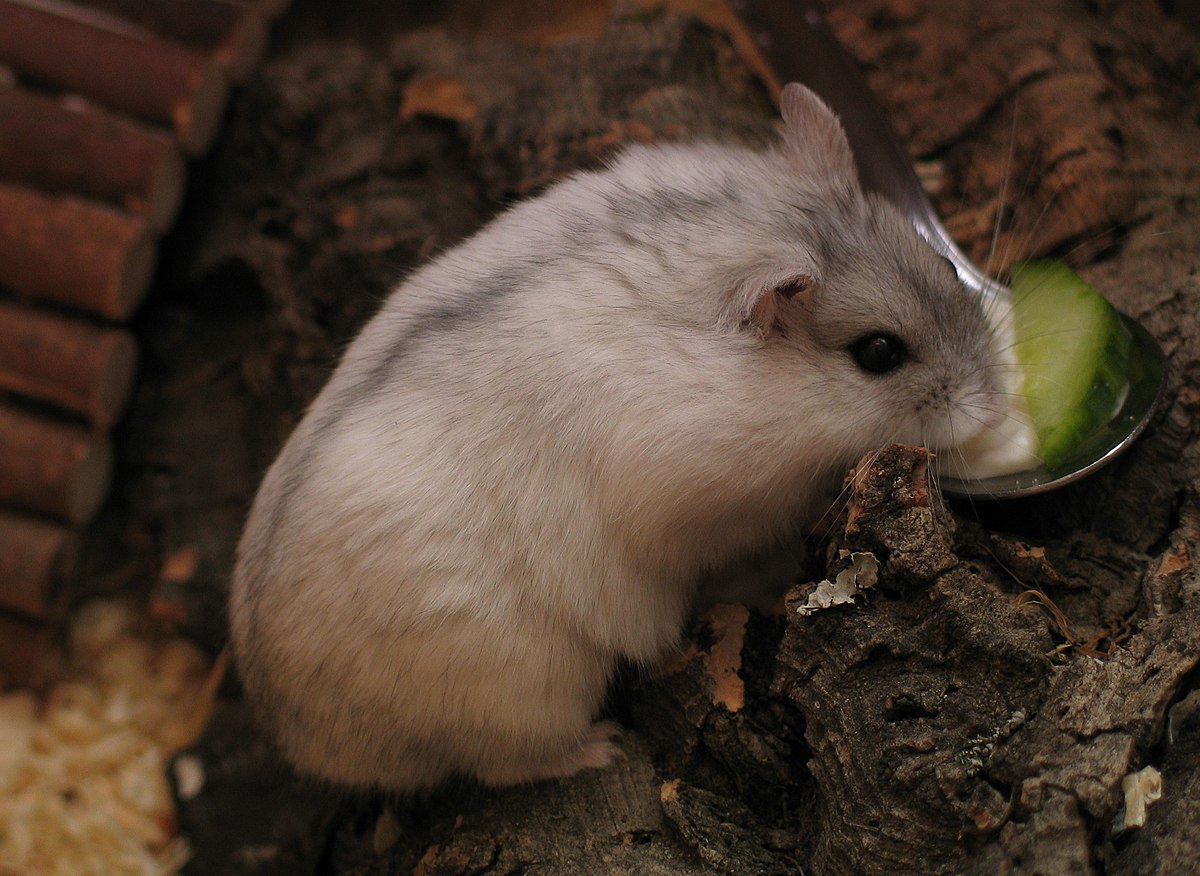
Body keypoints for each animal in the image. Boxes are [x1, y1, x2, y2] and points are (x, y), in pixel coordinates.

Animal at [229, 83, 1002, 791]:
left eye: (942, 266)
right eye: (879, 353)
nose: (993, 406)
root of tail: (293, 736)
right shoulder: (709, 511)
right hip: (525, 692)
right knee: (505, 764)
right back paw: (604, 748)